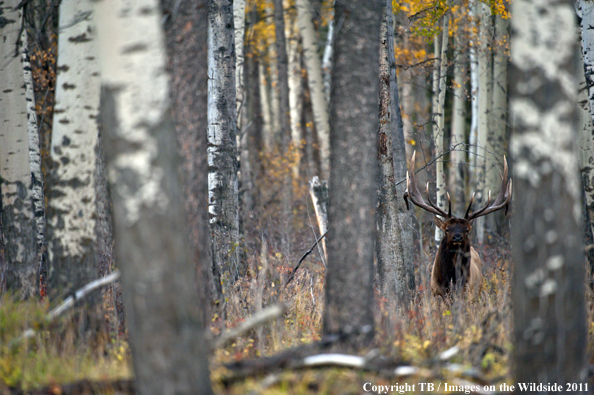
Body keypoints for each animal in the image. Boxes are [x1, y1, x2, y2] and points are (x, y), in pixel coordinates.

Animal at [400, 152, 512, 300]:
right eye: (447, 229)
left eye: (467, 230)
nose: (457, 237)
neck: (450, 281)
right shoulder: (436, 294)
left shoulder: (467, 294)